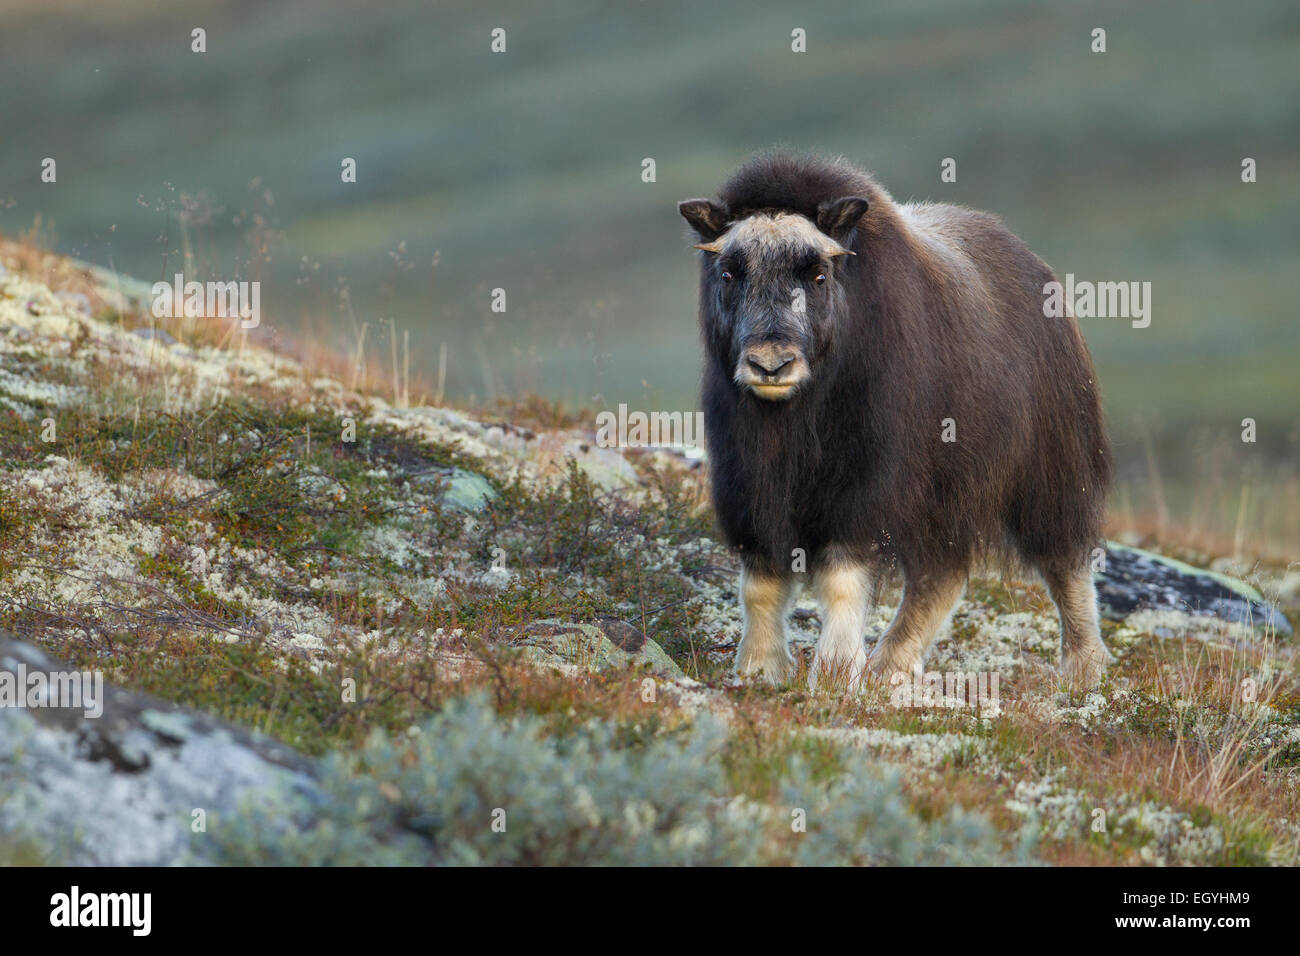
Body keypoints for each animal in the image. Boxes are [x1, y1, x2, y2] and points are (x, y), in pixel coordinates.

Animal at [676, 155, 1112, 697]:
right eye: (729, 272)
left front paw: (835, 675)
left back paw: (1083, 671)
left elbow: (842, 579)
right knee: (942, 575)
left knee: (1065, 560)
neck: (793, 416)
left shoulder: (862, 488)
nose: (770, 365)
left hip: (1051, 470)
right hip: (945, 497)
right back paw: (890, 668)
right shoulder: (746, 485)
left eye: (818, 275)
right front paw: (760, 670)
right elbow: (760, 582)